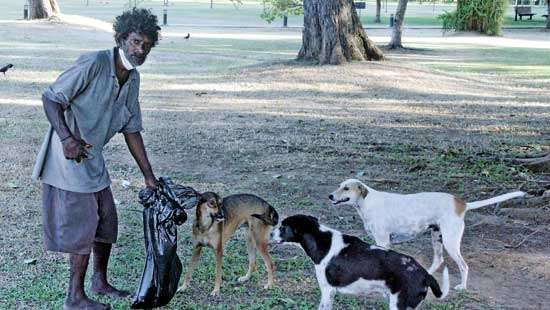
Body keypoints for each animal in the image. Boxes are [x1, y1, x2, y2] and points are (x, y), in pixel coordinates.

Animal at [272, 216, 448, 310]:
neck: (320, 239)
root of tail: (424, 273)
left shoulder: (327, 290)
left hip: (399, 305)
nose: (271, 233)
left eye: (283, 227)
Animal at [330, 179, 528, 290]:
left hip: (450, 242)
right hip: (437, 238)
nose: (330, 196)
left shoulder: (383, 241)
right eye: (339, 186)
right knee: (438, 260)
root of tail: (462, 204)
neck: (367, 201)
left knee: (464, 266)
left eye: (346, 188)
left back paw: (462, 287)